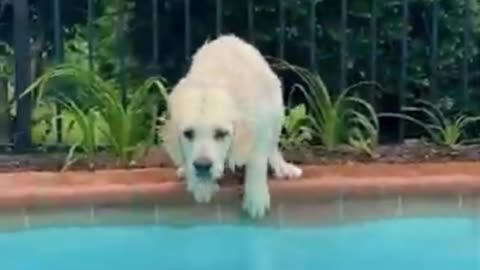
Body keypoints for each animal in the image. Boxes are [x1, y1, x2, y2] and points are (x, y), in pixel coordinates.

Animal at [163, 34, 302, 218]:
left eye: (221, 133)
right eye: (188, 133)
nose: (202, 166)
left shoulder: (260, 122)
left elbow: (257, 159)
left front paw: (256, 197)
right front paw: (201, 185)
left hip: (276, 108)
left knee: (272, 147)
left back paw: (283, 168)